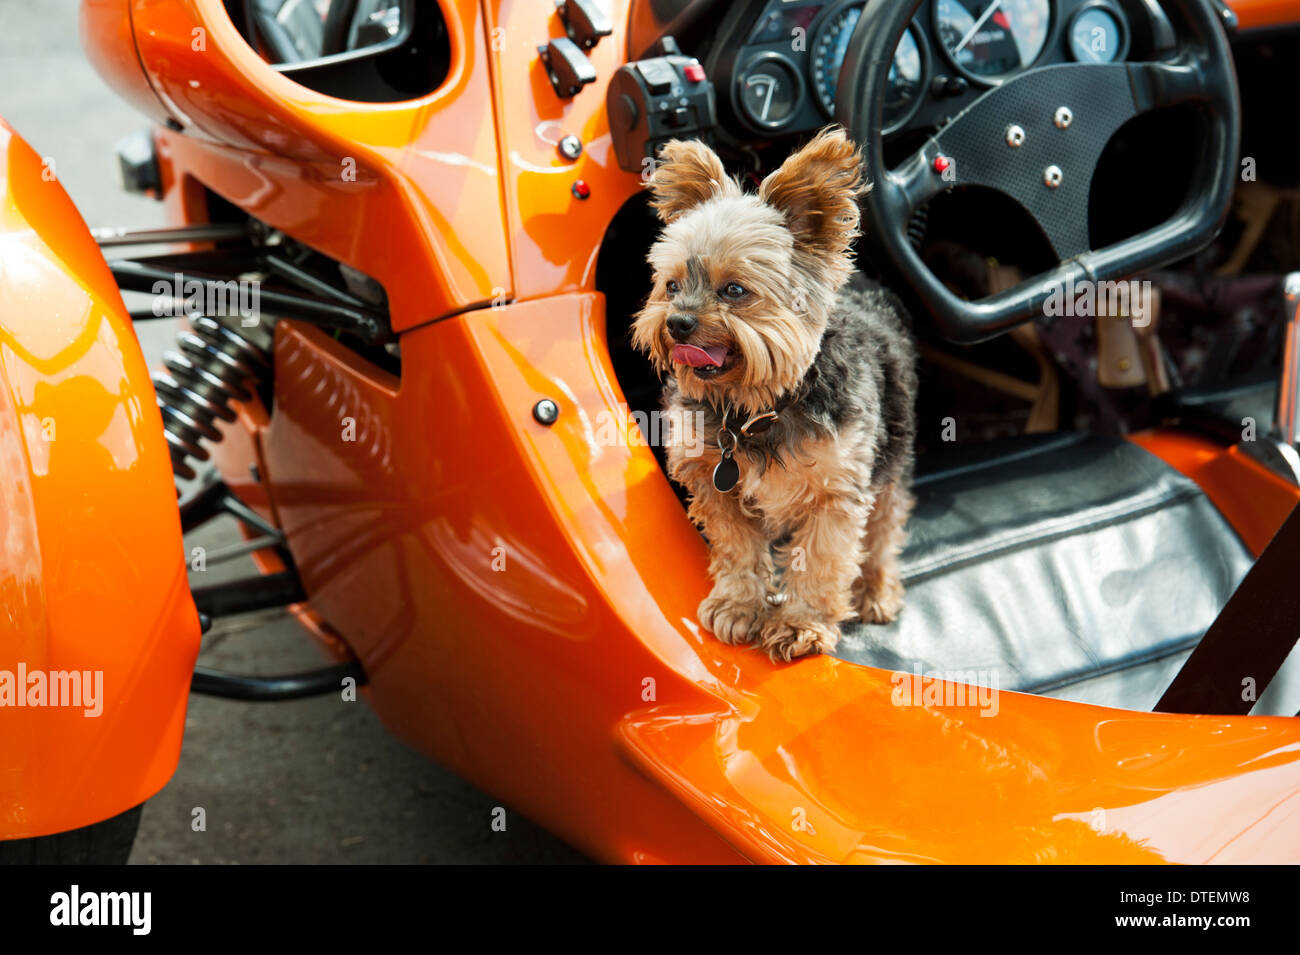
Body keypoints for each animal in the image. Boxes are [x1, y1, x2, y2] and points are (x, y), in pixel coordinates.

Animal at [629, 127, 915, 660]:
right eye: (671, 285)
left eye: (734, 291)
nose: (678, 323)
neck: (756, 408)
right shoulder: (711, 479)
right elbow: (737, 546)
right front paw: (740, 606)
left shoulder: (837, 489)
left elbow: (821, 559)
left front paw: (801, 624)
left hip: (893, 444)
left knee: (887, 522)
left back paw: (876, 588)